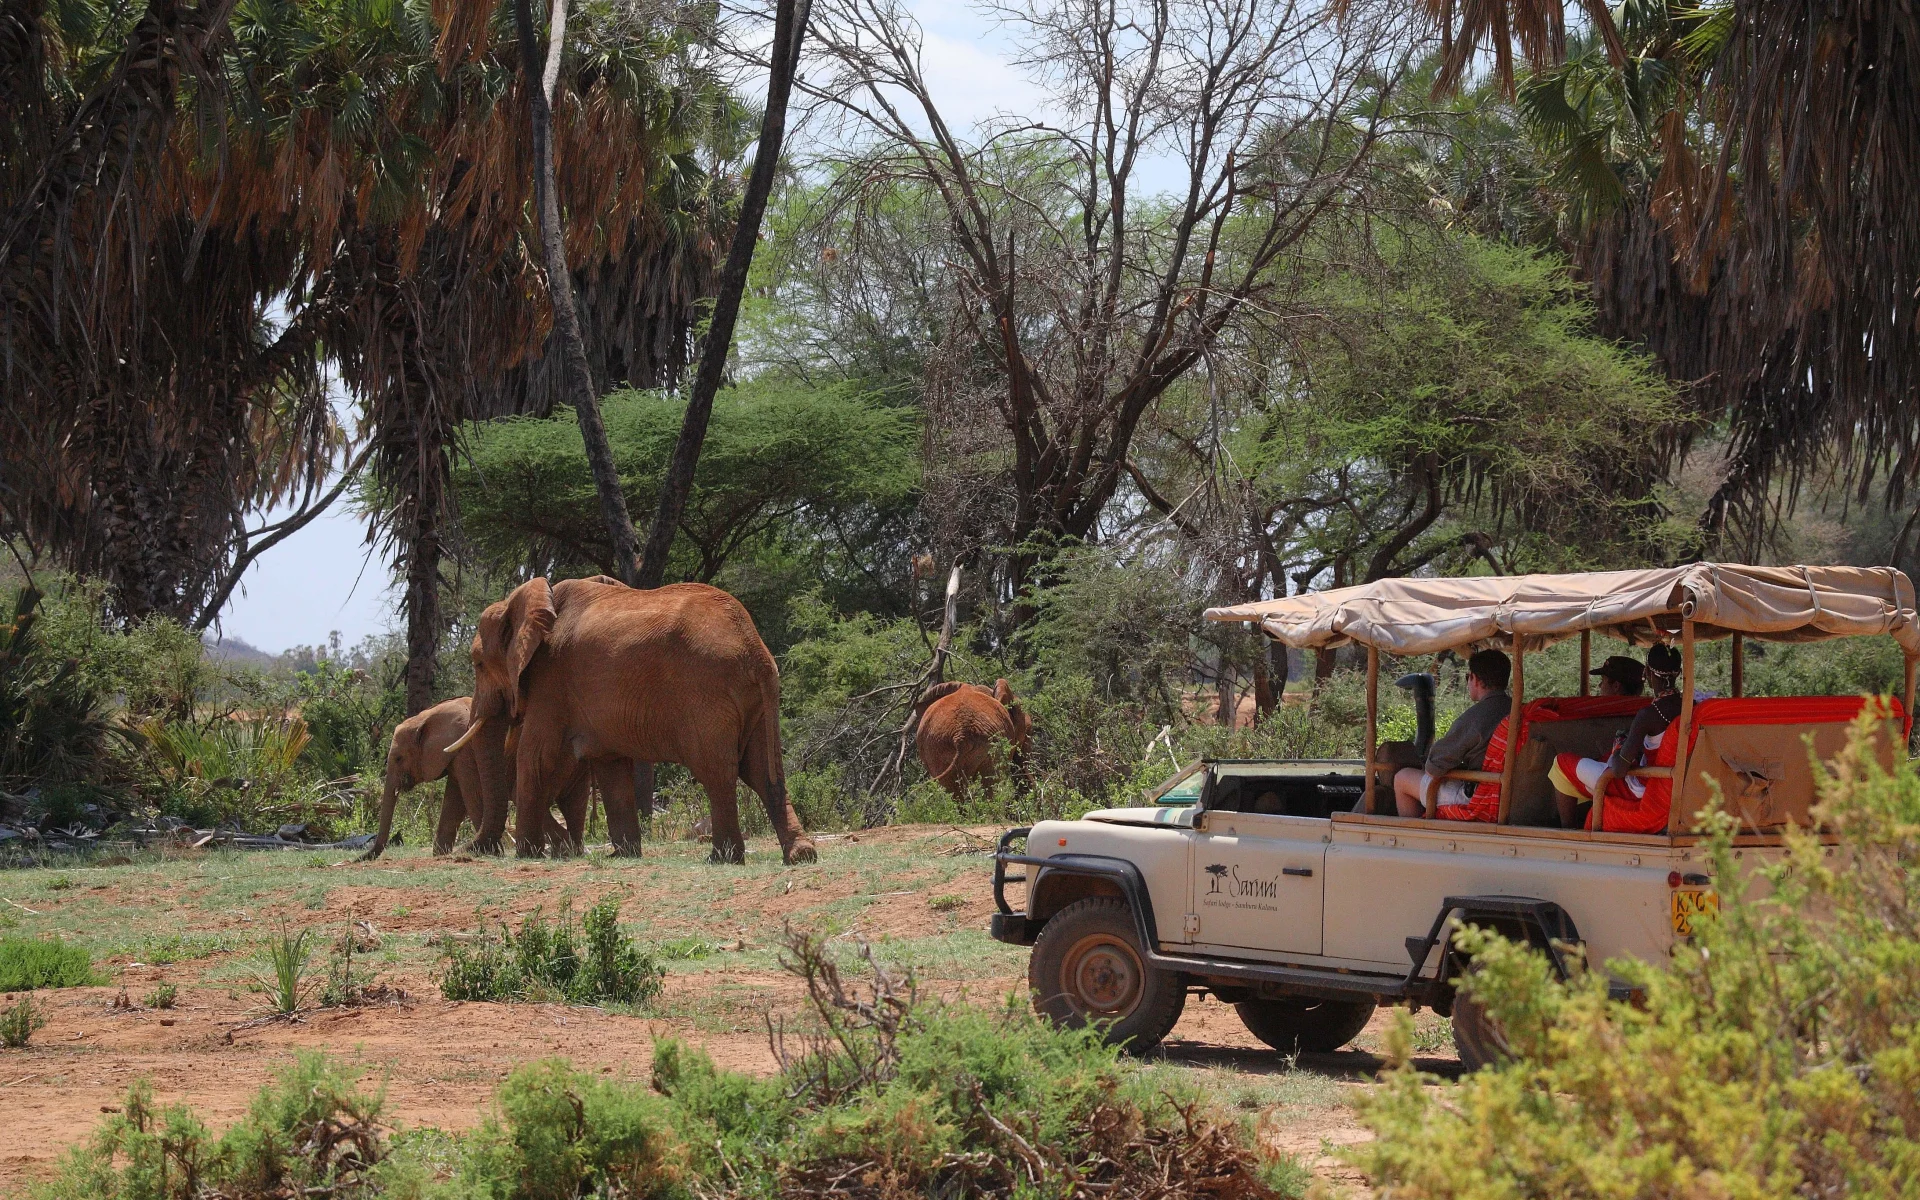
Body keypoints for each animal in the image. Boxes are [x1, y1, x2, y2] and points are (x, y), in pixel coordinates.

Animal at [362, 698, 579, 856]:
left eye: (398, 758)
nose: (361, 858)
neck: (426, 716)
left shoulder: (464, 750)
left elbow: (472, 795)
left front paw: (491, 853)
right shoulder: (454, 756)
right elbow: (454, 801)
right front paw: (440, 855)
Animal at [449, 572, 817, 860]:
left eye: (478, 664)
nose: (467, 852)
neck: (530, 599)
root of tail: (755, 649)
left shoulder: (551, 681)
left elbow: (535, 757)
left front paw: (527, 854)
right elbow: (611, 767)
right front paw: (623, 855)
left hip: (706, 691)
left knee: (717, 771)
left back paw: (722, 858)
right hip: (753, 699)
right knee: (763, 770)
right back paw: (801, 854)